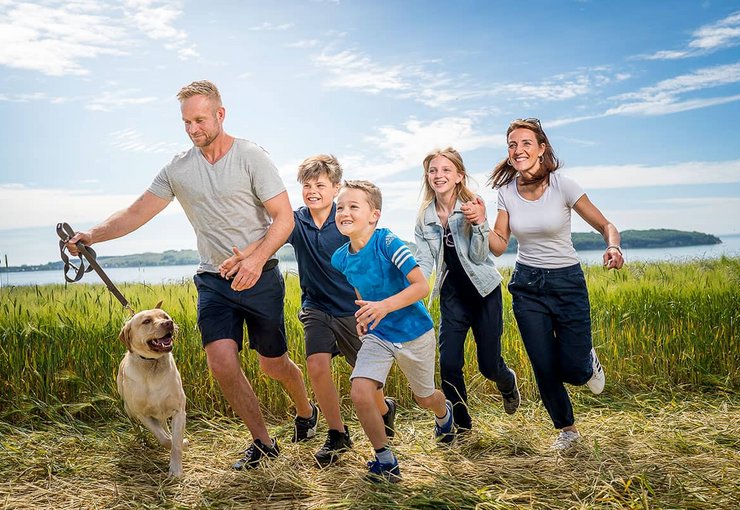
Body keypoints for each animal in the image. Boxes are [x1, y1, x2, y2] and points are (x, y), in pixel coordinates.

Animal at [116, 302, 186, 478]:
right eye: (146, 321)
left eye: (165, 316)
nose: (169, 323)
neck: (152, 364)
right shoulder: (143, 414)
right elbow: (164, 438)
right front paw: (172, 441)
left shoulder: (179, 410)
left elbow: (176, 443)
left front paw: (175, 469)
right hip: (130, 410)